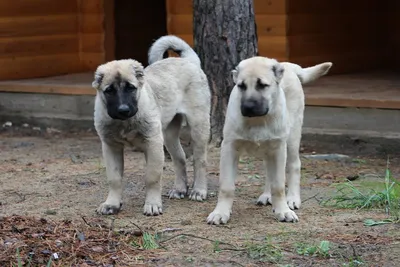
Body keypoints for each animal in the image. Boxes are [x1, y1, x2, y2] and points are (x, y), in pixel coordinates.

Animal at [206, 56, 332, 224]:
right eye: (241, 86)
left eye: (262, 85)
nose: (248, 107)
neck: (257, 120)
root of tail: (287, 65)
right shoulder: (229, 148)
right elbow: (226, 186)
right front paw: (220, 213)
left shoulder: (279, 149)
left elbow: (278, 186)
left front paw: (283, 211)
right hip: (269, 148)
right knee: (269, 171)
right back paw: (267, 195)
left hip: (291, 139)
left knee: (294, 165)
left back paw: (292, 198)